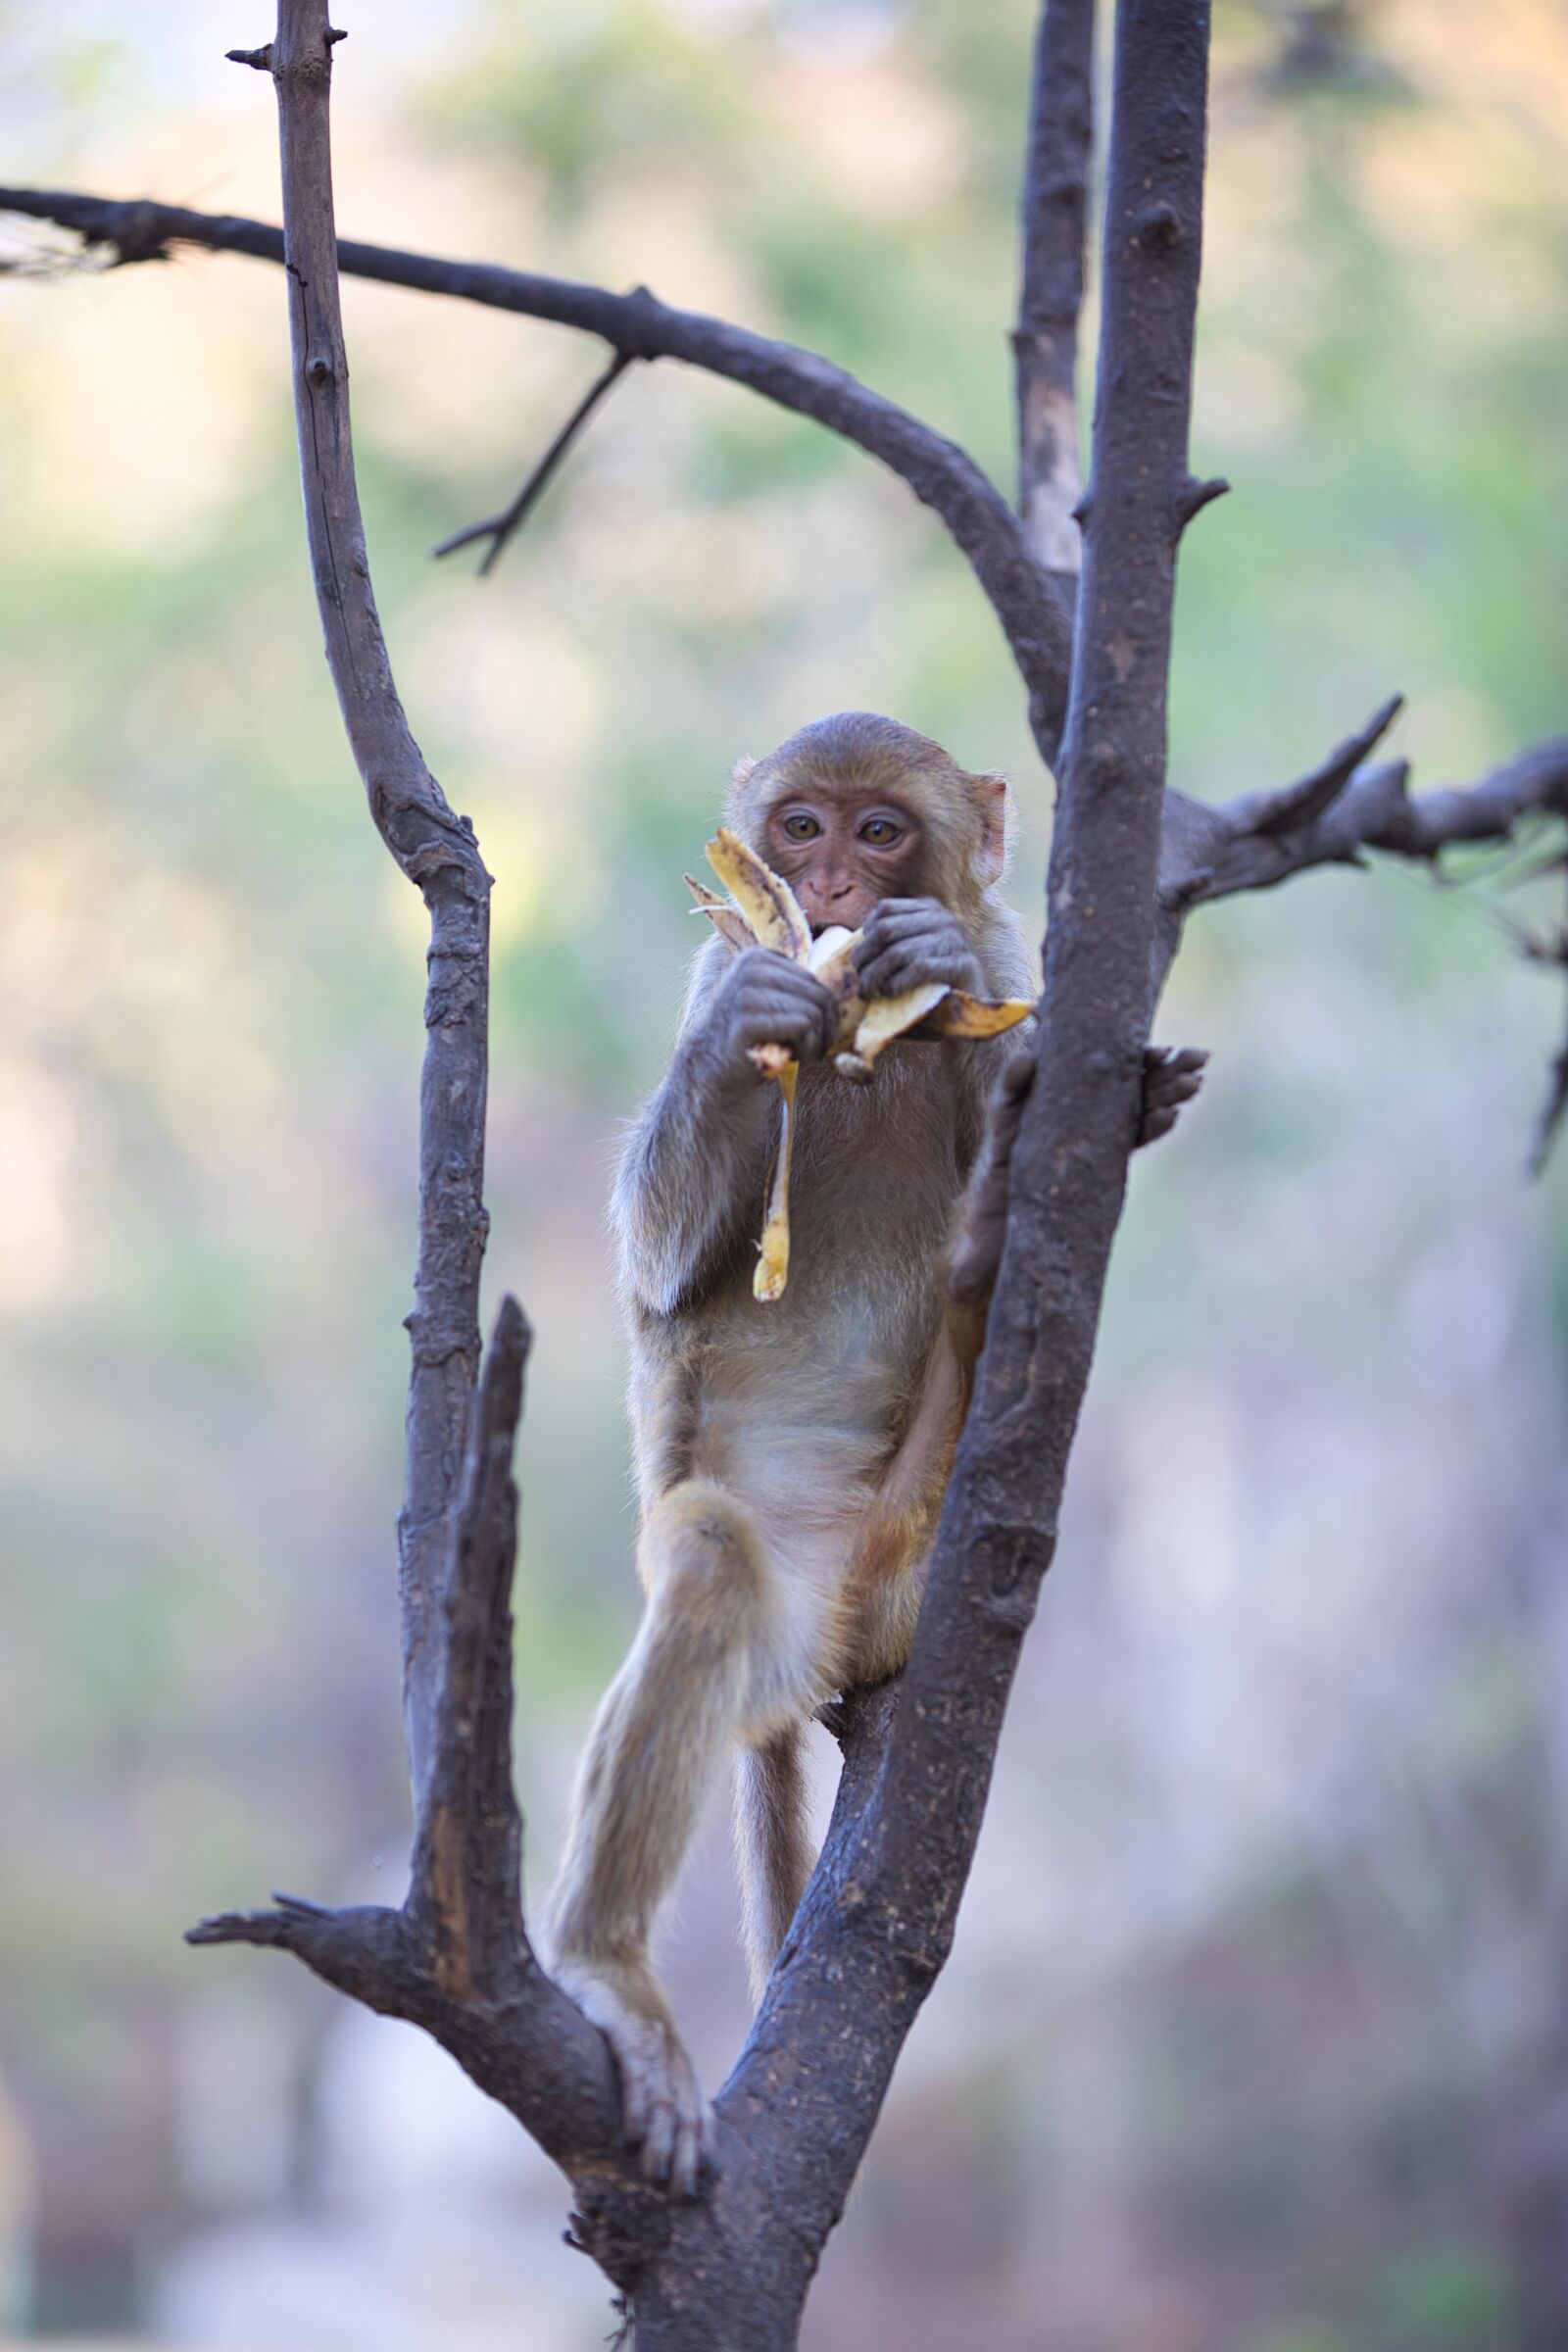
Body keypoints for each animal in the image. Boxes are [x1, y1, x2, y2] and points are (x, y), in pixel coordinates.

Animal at [545, 706, 1212, 2191]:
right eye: (800, 830)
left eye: (880, 830)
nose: (839, 891)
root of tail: (853, 1624)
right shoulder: (713, 961)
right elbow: (660, 1269)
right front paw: (756, 1028)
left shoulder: (1024, 972)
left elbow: (1018, 1052)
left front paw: (946, 988)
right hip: (781, 1619)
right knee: (714, 1565)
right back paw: (606, 1968)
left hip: (920, 1559)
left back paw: (984, 1245)